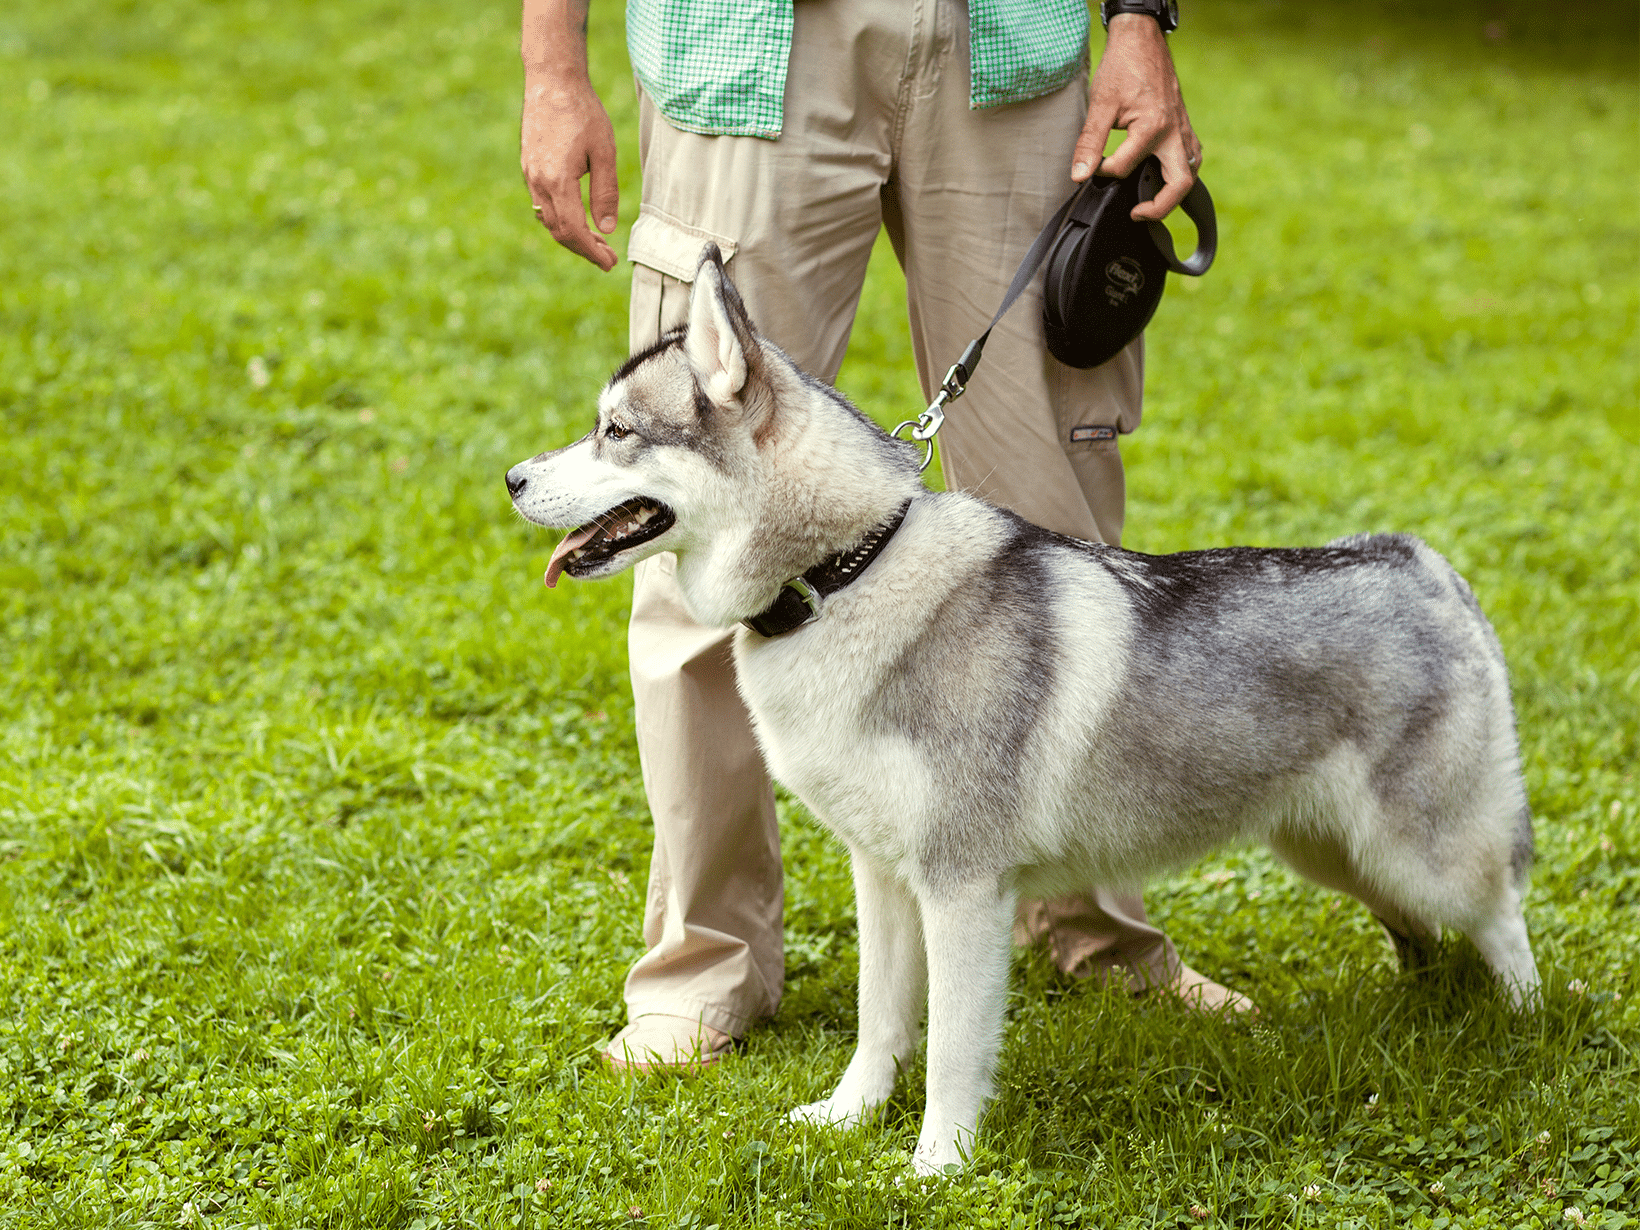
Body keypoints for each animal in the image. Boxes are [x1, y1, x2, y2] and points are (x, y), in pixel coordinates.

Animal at [501, 246, 1535, 1180]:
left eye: (616, 431)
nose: (510, 478)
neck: (846, 573)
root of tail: (1423, 561)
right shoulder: (884, 877)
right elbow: (881, 1022)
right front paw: (849, 1119)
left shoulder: (963, 890)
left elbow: (954, 1051)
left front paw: (937, 1165)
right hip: (1330, 850)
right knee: (1426, 934)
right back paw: (1424, 1005)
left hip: (1418, 855)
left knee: (1504, 917)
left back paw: (1528, 1030)